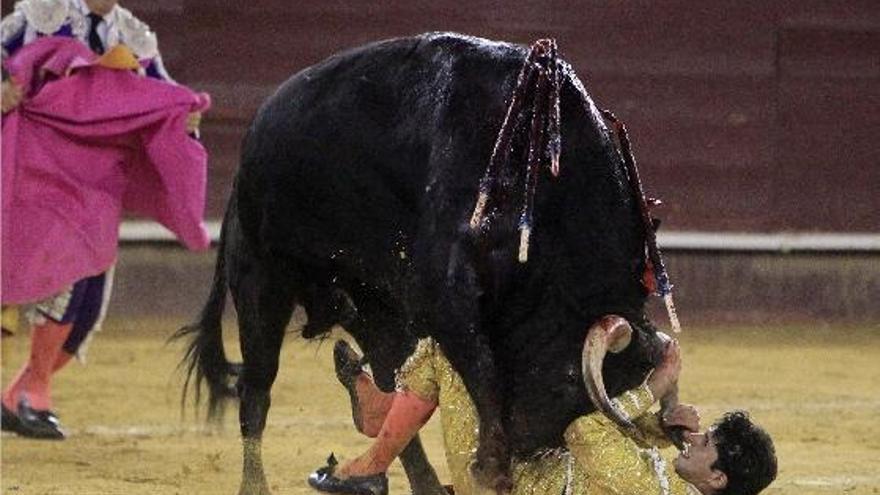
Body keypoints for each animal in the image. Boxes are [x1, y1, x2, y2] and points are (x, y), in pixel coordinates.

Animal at [177, 32, 668, 495]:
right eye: (569, 382)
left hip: (368, 301)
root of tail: (243, 166)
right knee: (256, 390)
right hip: (262, 282)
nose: (531, 446)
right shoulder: (444, 295)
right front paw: (491, 468)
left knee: (387, 376)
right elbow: (483, 370)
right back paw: (255, 482)